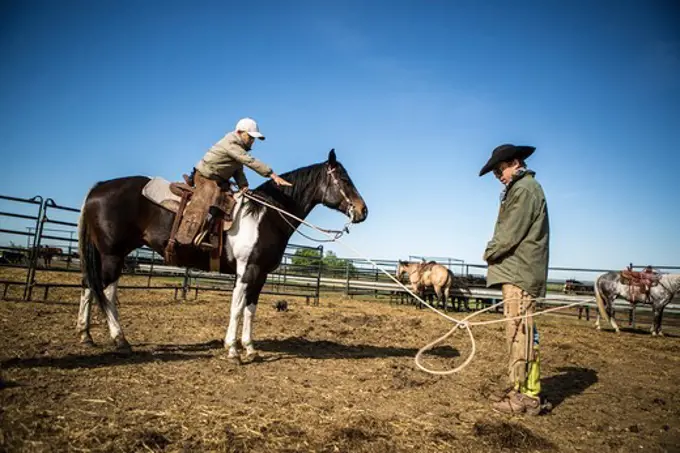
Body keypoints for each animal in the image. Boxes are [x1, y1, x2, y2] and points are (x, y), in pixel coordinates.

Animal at [77, 150, 370, 358]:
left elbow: (250, 309)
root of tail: (98, 187)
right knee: (106, 291)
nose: (362, 210)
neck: (266, 214)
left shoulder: (261, 274)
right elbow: (237, 307)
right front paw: (232, 349)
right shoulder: (247, 270)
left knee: (89, 285)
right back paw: (120, 340)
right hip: (113, 255)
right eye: (344, 179)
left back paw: (85, 336)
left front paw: (249, 348)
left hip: (105, 255)